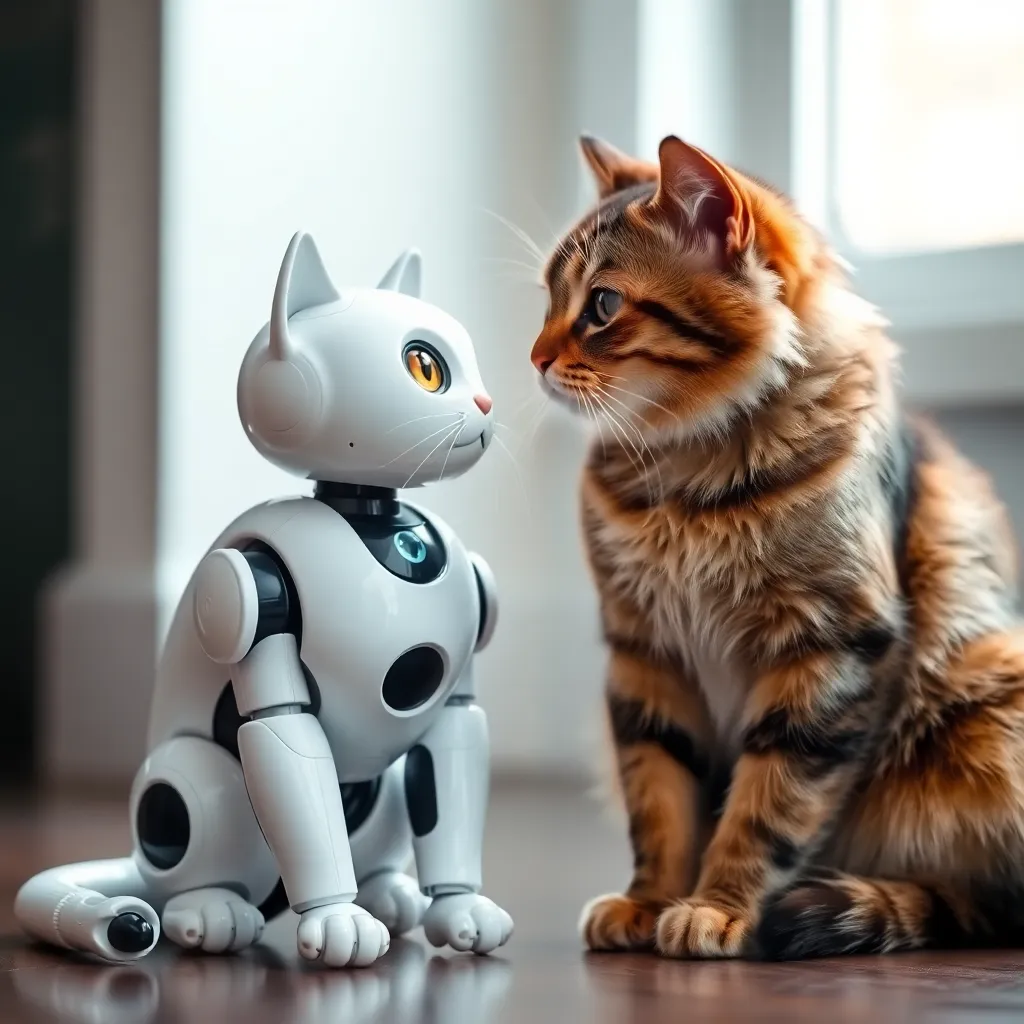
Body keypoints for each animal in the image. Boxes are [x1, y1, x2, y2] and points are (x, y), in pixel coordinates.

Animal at [16, 230, 512, 966]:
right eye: (426, 366)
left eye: (473, 360)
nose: (485, 405)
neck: (369, 513)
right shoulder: (256, 584)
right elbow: (281, 725)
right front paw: (335, 922)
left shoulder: (471, 609)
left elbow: (456, 730)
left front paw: (458, 907)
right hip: (198, 794)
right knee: (202, 813)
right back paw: (214, 912)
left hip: (381, 800)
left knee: (402, 791)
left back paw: (389, 894)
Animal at [532, 130, 1024, 958]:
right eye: (546, 298)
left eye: (601, 305)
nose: (534, 357)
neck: (688, 482)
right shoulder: (645, 654)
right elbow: (659, 800)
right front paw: (650, 901)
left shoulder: (828, 646)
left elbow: (766, 806)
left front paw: (719, 906)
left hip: (988, 701)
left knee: (992, 900)